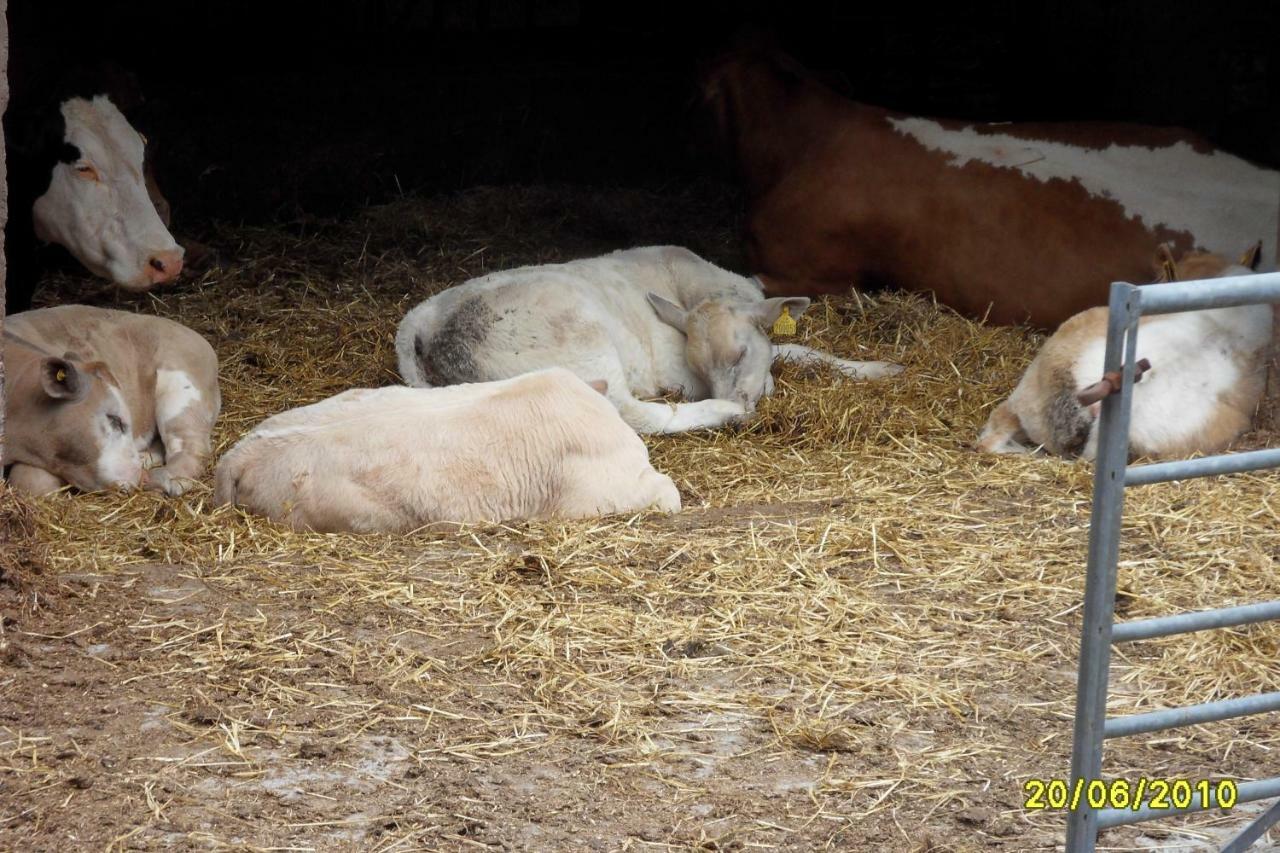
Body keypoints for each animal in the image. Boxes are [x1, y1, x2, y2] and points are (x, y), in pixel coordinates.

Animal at [1, 303, 220, 491]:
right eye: (114, 419)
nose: (139, 477)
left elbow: (31, 481)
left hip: (182, 389)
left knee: (192, 446)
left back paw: (161, 481)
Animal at [394, 244, 906, 432]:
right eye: (697, 365)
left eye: (741, 351)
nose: (743, 411)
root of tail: (421, 323)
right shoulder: (678, 372)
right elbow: (786, 352)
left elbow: (797, 349)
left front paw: (881, 367)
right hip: (584, 346)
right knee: (632, 413)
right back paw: (717, 412)